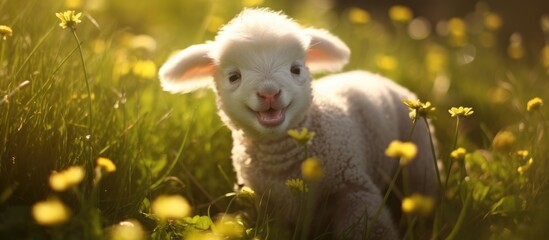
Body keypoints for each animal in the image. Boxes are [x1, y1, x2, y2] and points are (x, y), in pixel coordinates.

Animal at [158, 7, 436, 240]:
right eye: (233, 76)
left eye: (296, 69)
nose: (269, 93)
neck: (281, 159)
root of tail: (373, 74)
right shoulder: (262, 200)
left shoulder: (354, 190)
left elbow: (370, 228)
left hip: (420, 164)